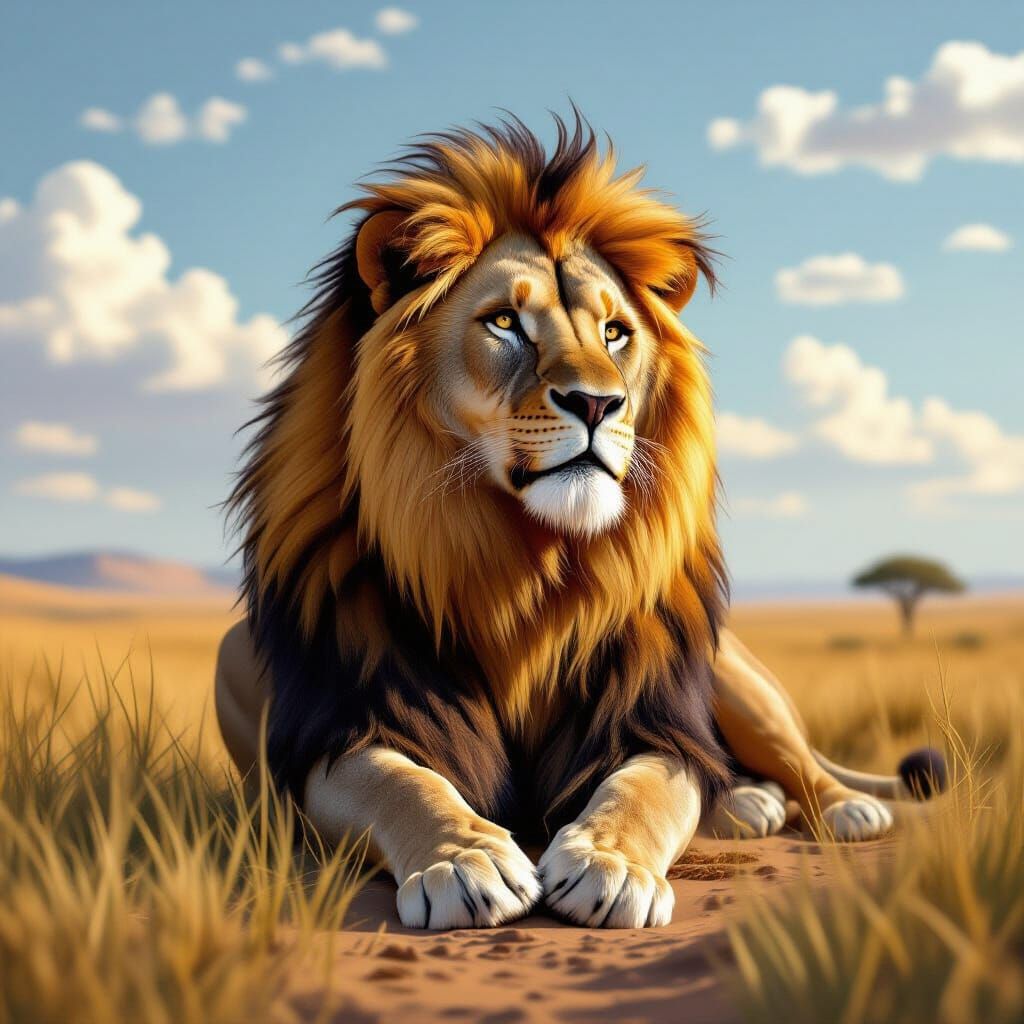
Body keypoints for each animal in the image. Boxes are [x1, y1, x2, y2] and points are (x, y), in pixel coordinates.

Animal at [215, 115, 946, 930]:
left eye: (616, 333)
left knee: (799, 764)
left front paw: (610, 864)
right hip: (231, 655)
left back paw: (836, 807)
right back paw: (747, 806)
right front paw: (463, 861)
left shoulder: (647, 717)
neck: (521, 566)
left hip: (733, 677)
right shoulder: (342, 727)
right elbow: (400, 781)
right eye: (505, 323)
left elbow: (643, 789)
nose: (598, 403)